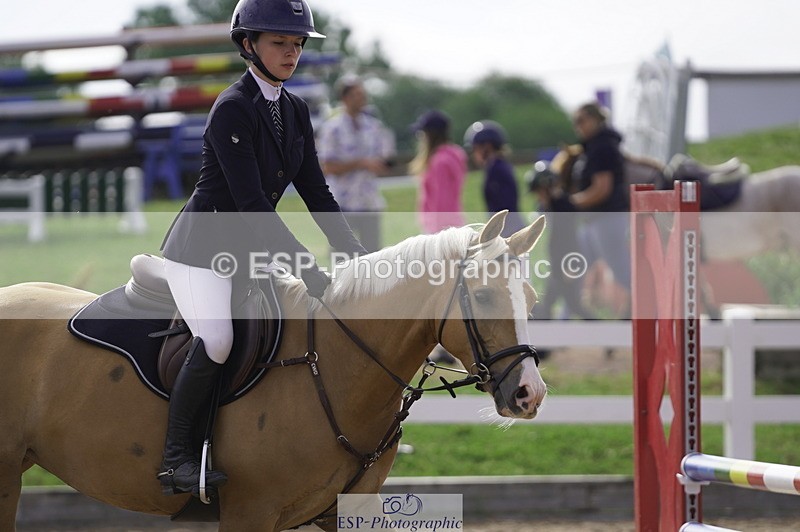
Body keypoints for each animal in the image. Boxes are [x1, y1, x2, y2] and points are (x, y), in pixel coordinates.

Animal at [0, 210, 547, 531]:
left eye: (532, 298)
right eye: (483, 296)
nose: (530, 394)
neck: (333, 364)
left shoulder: (348, 510)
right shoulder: (251, 512)